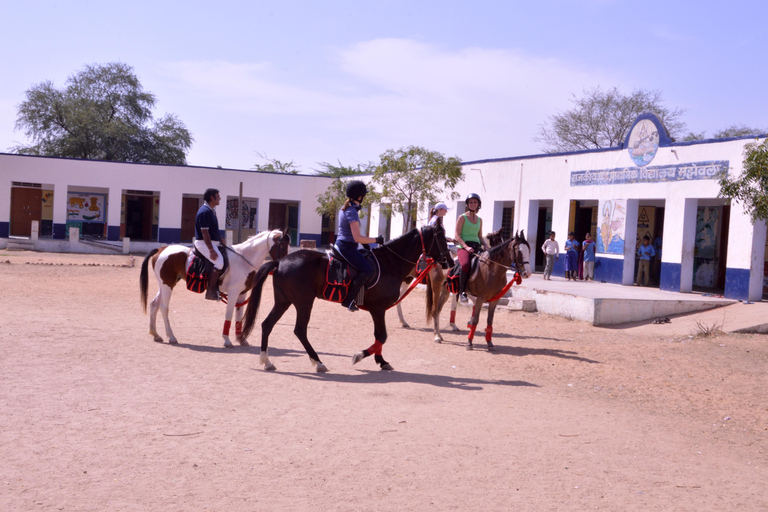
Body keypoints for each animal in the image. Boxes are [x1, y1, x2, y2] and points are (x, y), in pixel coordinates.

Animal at [140, 229, 290, 346]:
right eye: (282, 246)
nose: (284, 264)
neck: (243, 259)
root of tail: (161, 249)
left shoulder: (242, 294)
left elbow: (238, 316)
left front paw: (241, 339)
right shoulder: (234, 293)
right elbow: (229, 314)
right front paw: (227, 340)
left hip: (165, 285)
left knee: (154, 305)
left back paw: (156, 334)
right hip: (167, 286)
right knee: (163, 308)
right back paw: (171, 336)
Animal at [238, 224, 456, 372]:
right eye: (441, 238)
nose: (450, 261)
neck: (389, 263)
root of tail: (280, 262)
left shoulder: (378, 310)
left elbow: (379, 336)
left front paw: (381, 361)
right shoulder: (378, 309)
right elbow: (382, 336)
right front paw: (360, 356)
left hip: (284, 301)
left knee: (267, 325)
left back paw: (267, 361)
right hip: (303, 303)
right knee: (299, 330)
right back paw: (318, 362)